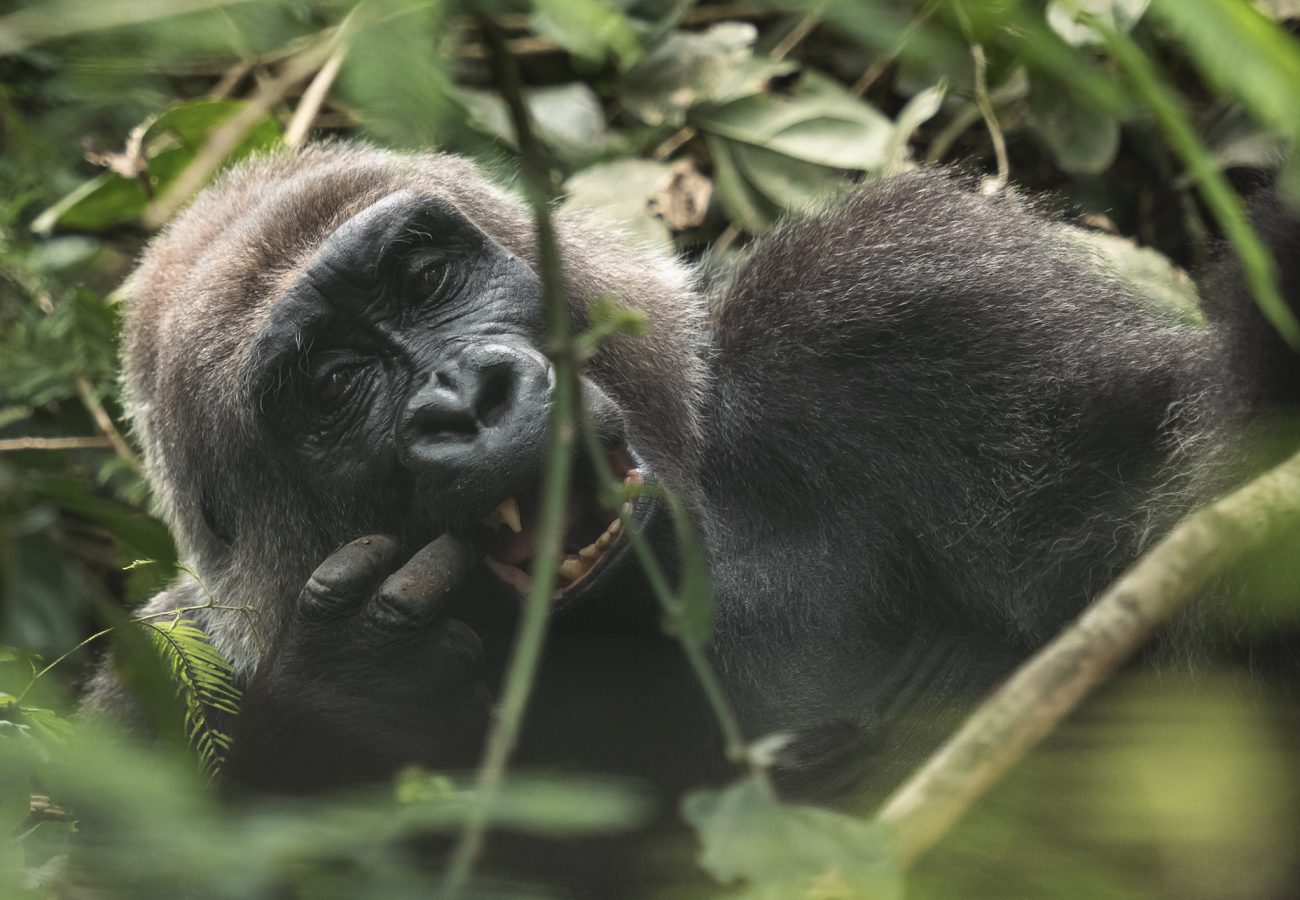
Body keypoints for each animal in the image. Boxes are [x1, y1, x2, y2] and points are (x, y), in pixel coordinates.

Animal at [83, 142, 1300, 863]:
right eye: (334, 386)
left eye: (426, 280)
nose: (467, 400)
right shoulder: (164, 682)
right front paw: (347, 694)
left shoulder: (914, 310)